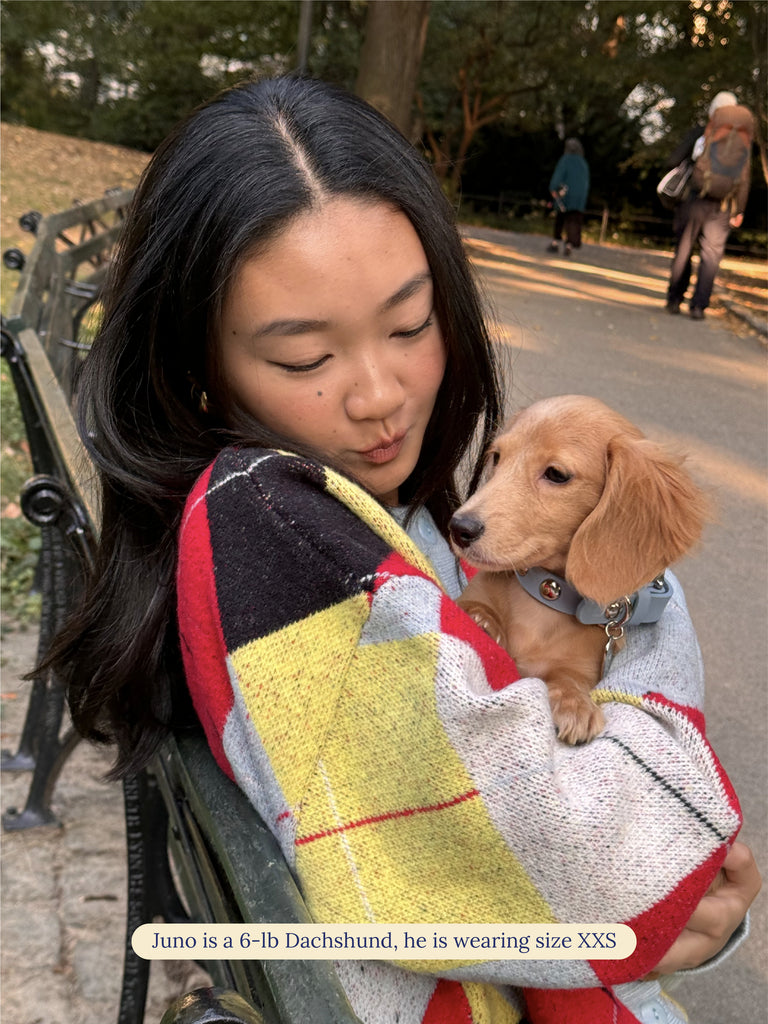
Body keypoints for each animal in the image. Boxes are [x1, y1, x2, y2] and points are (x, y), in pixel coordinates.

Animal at [450, 393, 708, 745]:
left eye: (556, 474)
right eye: (497, 458)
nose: (459, 528)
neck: (545, 597)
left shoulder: (584, 664)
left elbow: (568, 677)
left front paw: (576, 704)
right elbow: (474, 605)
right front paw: (483, 621)